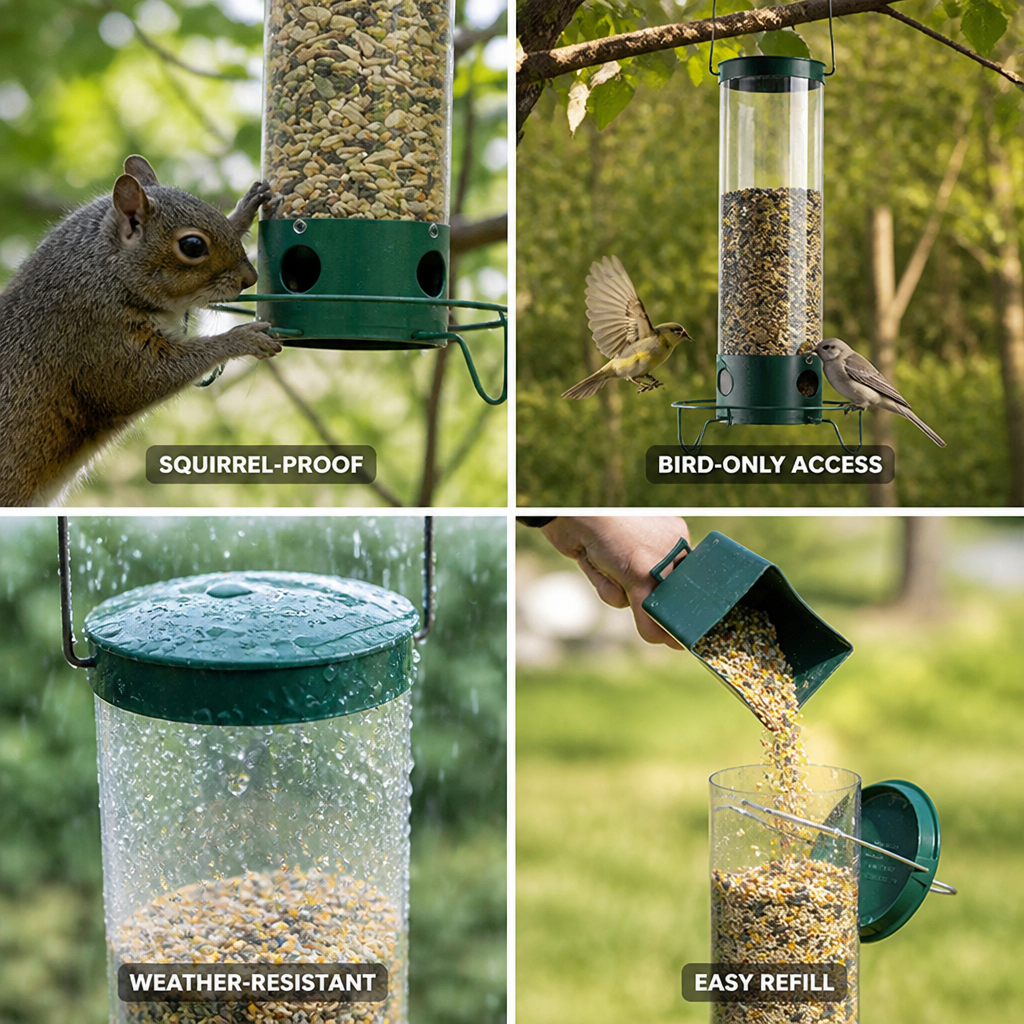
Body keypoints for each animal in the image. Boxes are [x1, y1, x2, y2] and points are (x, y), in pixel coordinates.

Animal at [0, 155, 282, 506]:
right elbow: (142, 380)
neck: (105, 269)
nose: (250, 278)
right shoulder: (96, 332)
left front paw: (246, 208)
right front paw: (242, 338)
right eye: (192, 245)